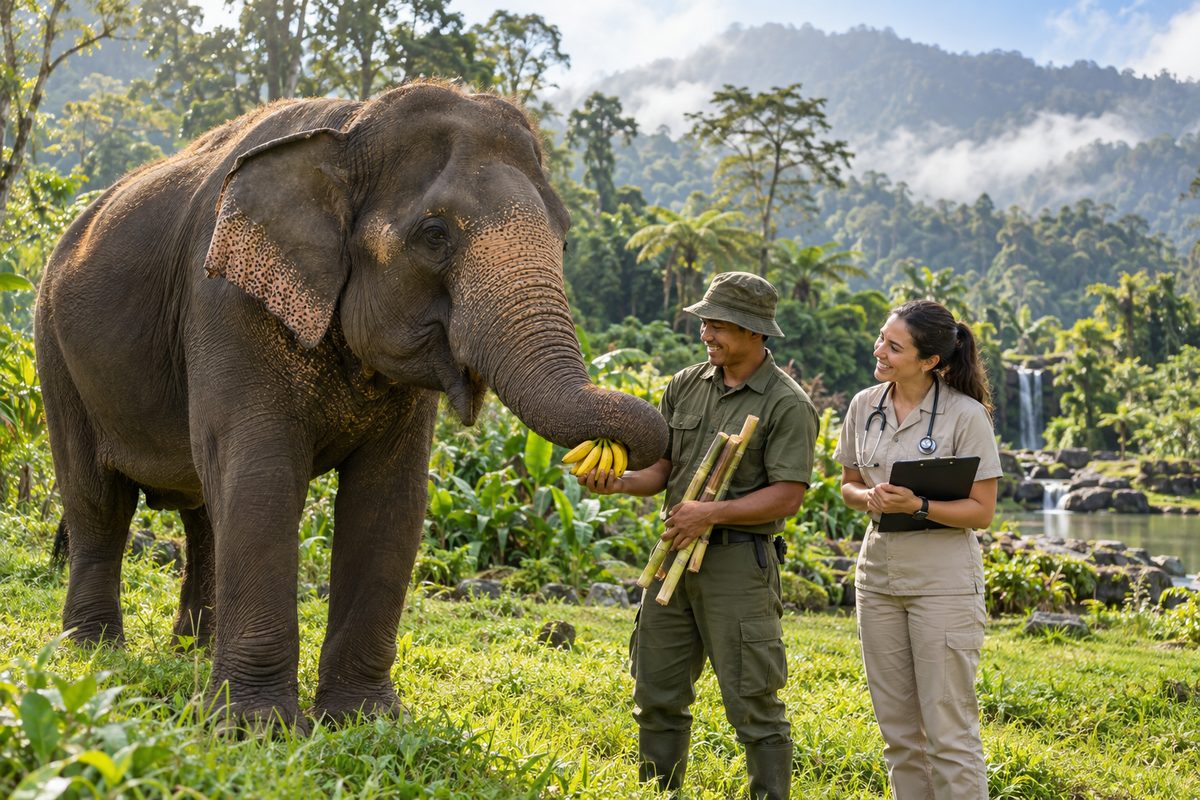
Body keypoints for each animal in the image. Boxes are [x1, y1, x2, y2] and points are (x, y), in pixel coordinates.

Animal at [35, 80, 668, 728]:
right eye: (435, 235)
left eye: (564, 237)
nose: (610, 459)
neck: (351, 126)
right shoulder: (224, 301)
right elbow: (262, 475)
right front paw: (254, 729)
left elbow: (391, 497)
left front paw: (363, 720)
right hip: (54, 350)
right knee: (98, 499)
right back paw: (94, 651)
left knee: (202, 511)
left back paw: (191, 653)